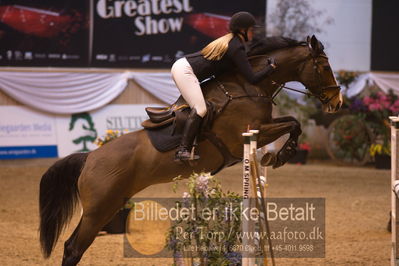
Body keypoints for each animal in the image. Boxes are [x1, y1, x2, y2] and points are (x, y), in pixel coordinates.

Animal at [38, 35, 344, 266]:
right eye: (324, 66)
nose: (337, 102)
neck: (249, 84)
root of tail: (89, 157)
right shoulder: (247, 135)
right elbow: (293, 123)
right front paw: (281, 155)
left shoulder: (257, 131)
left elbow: (293, 122)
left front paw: (277, 155)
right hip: (99, 209)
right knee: (74, 248)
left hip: (107, 206)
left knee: (71, 246)